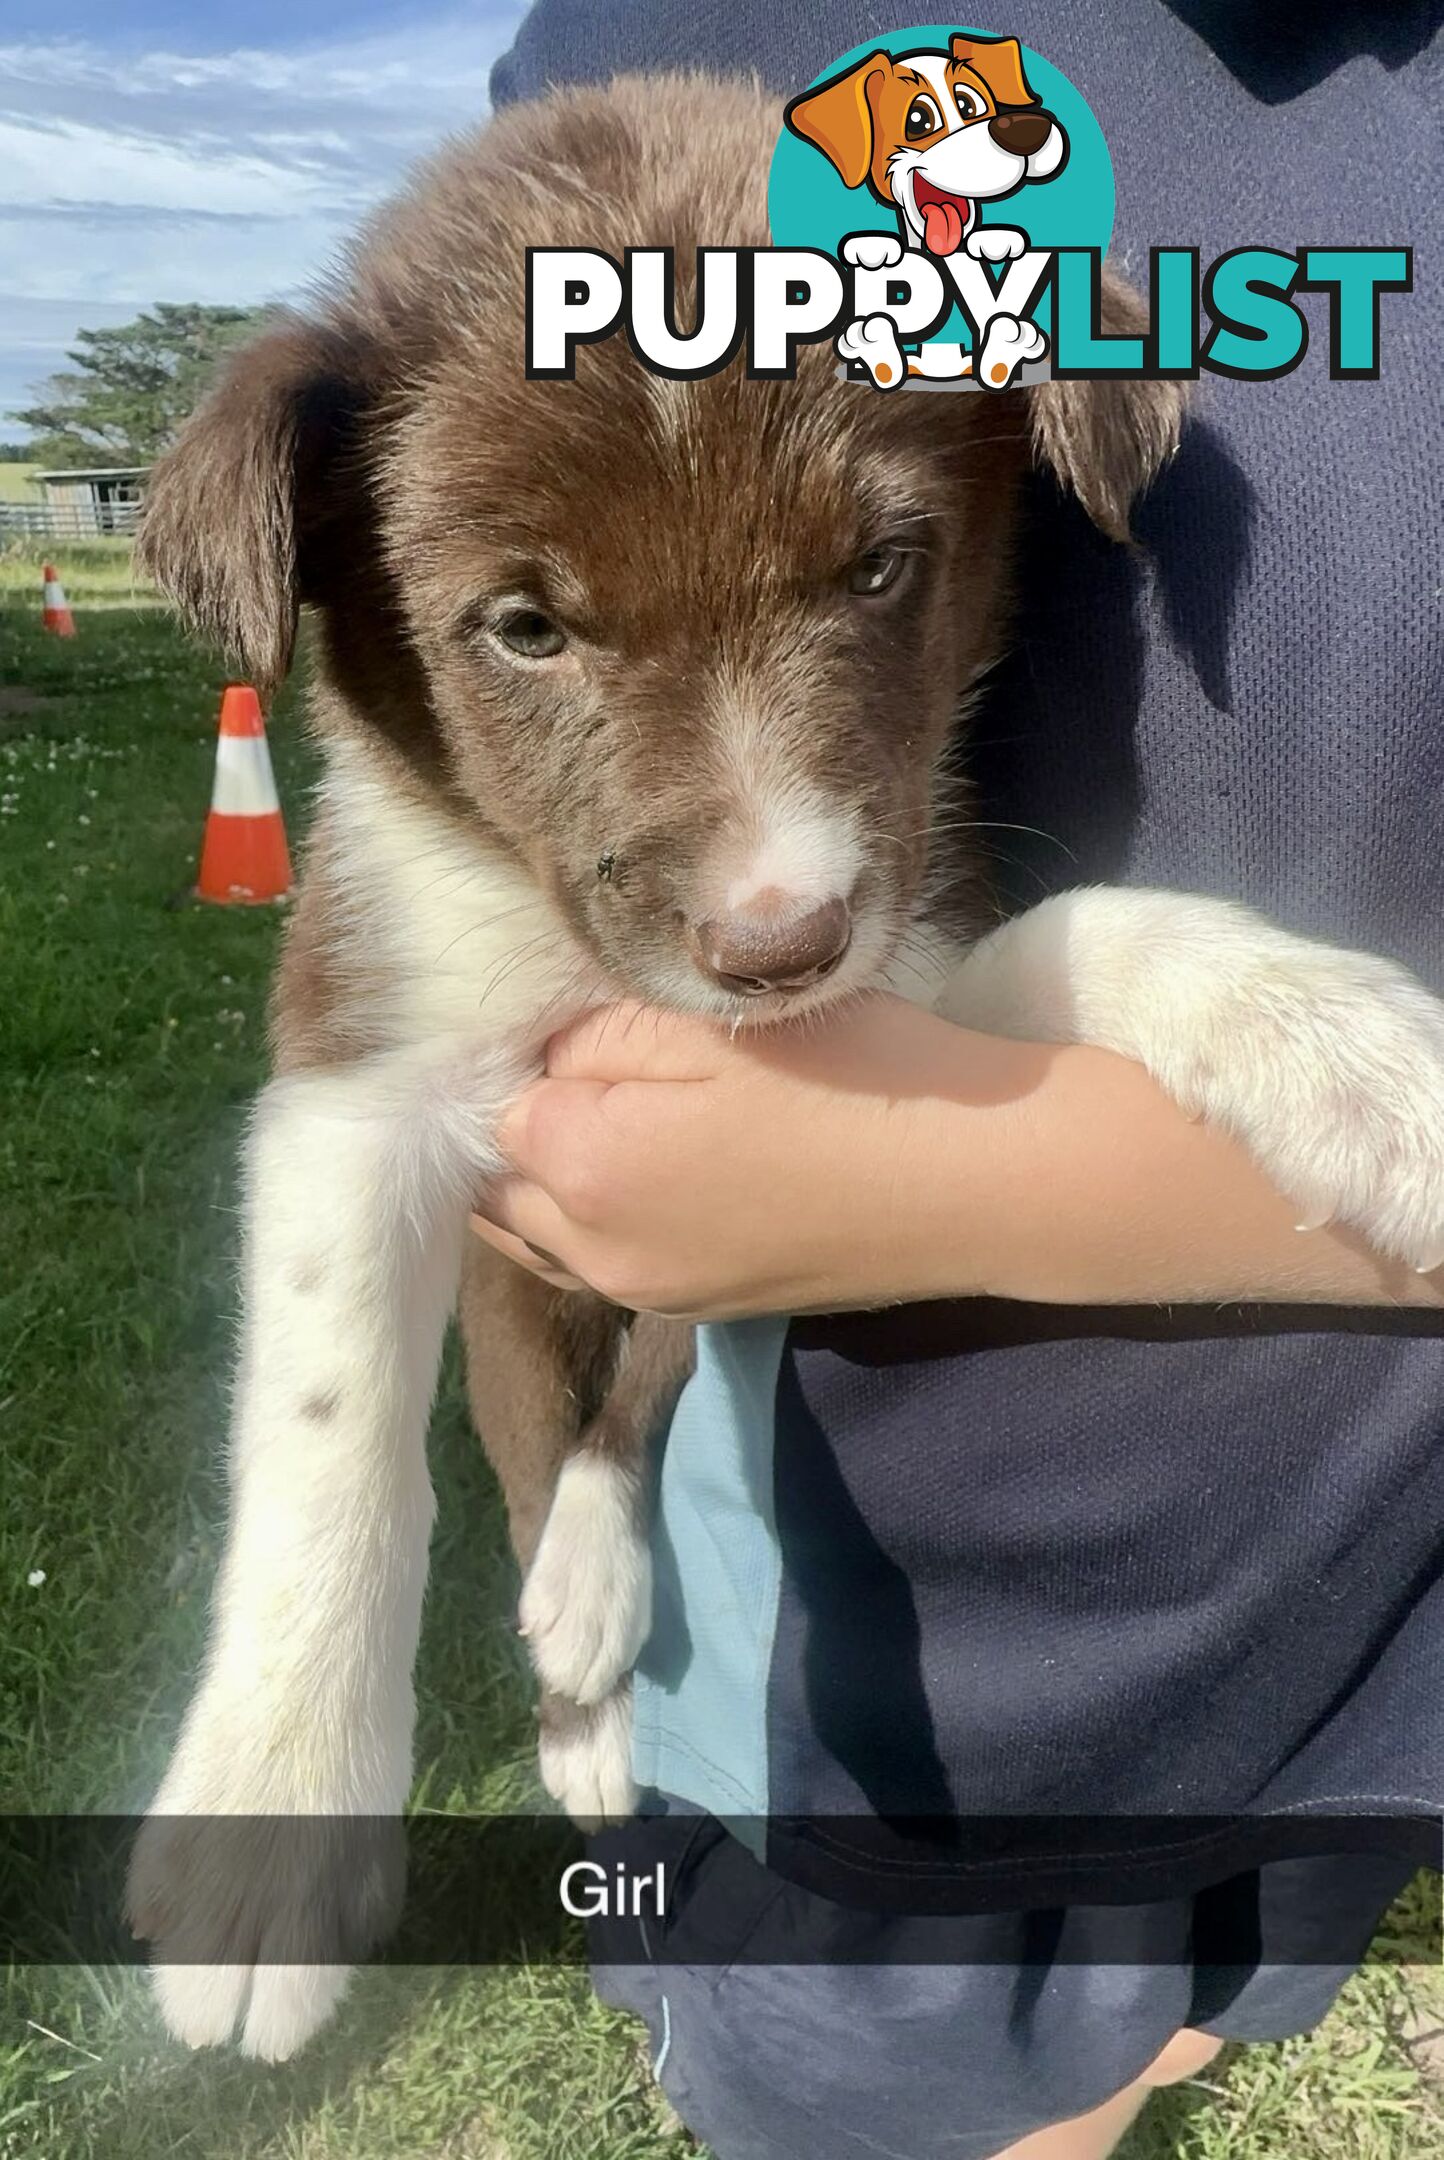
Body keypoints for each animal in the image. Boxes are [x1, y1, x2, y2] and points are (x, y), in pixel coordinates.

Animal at [124, 71, 1441, 2056]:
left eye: (883, 569)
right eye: (523, 626)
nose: (773, 948)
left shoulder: (895, 959)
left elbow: (1091, 930)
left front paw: (1348, 1053)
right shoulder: (358, 1058)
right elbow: (329, 1437)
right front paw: (265, 1827)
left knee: (654, 1380)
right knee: (539, 1436)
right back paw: (581, 1675)